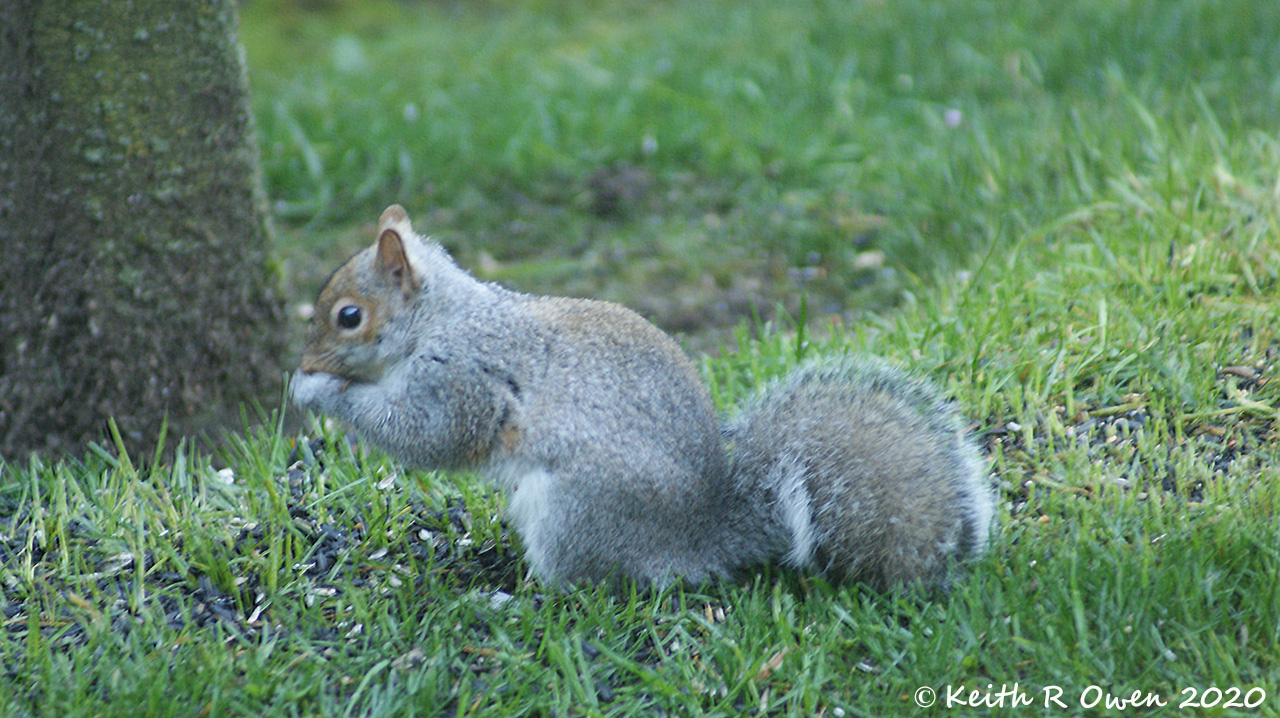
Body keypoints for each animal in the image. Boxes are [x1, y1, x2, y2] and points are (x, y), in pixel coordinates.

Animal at [292, 205, 995, 590]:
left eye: (349, 317)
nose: (303, 360)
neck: (440, 320)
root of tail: (698, 538)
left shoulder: (462, 379)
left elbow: (428, 436)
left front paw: (320, 390)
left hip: (575, 507)